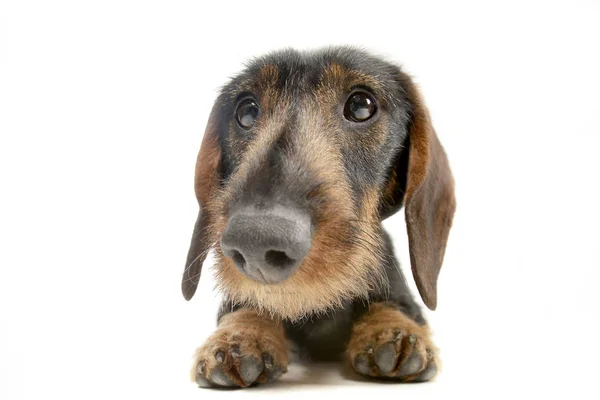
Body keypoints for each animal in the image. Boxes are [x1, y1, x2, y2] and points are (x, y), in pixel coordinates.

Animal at [182, 47, 454, 388]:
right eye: (246, 113)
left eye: (361, 106)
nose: (255, 241)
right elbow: (248, 306)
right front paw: (238, 337)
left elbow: (392, 305)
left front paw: (394, 331)